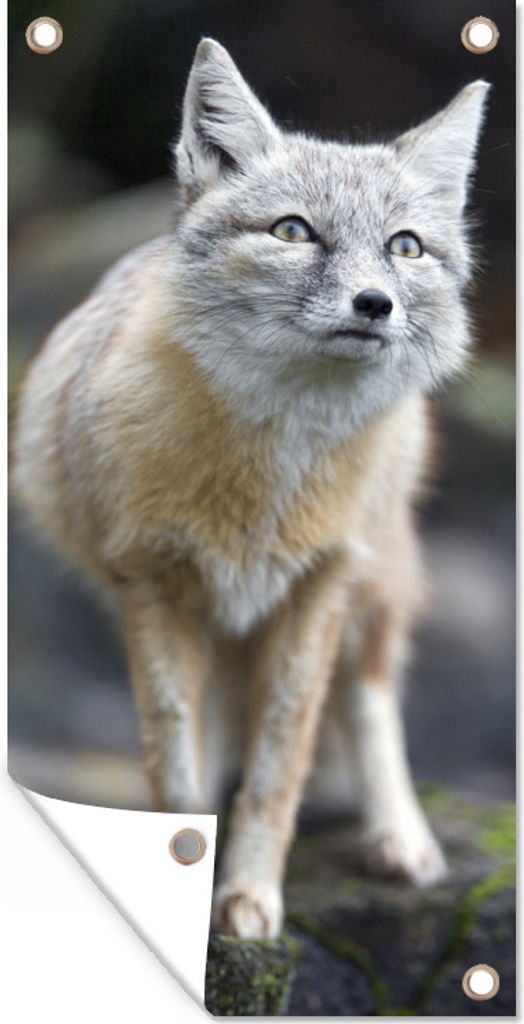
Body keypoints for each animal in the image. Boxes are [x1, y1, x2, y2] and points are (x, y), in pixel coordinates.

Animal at [12, 38, 489, 939]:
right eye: (293, 232)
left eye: (405, 247)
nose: (375, 304)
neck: (266, 485)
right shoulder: (153, 587)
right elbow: (175, 763)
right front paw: (183, 884)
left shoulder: (316, 591)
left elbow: (281, 767)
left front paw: (249, 895)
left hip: (370, 586)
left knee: (370, 697)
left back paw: (400, 838)